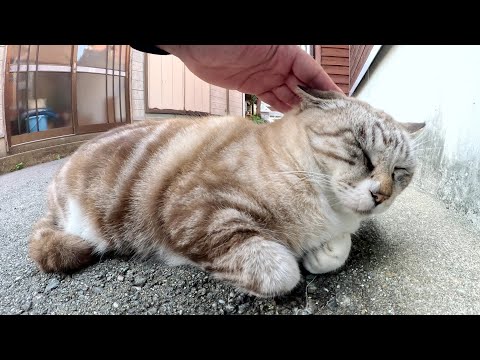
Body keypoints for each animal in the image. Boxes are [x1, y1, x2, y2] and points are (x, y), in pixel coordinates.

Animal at [28, 88, 424, 298]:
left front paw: (321, 253)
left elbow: (339, 250)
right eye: (363, 151)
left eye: (400, 172)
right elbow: (282, 271)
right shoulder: (195, 208)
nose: (382, 195)